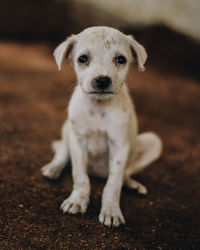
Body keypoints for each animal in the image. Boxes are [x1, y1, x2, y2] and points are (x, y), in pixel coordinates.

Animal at [41, 26, 162, 228]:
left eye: (120, 59)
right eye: (83, 58)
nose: (102, 80)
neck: (99, 106)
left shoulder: (119, 146)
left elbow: (113, 184)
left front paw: (111, 211)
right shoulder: (78, 140)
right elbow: (80, 176)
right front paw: (77, 201)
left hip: (153, 142)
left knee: (125, 173)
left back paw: (132, 184)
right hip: (67, 129)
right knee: (62, 151)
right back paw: (53, 169)